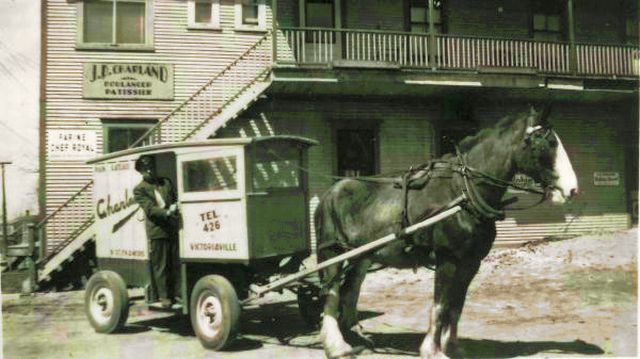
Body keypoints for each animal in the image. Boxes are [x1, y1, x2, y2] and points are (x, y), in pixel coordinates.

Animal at [316, 105, 580, 358]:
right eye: (549, 143)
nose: (573, 189)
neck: (462, 193)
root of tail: (330, 193)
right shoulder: (448, 259)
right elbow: (441, 306)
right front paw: (432, 350)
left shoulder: (471, 263)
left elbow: (456, 305)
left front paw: (451, 346)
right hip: (333, 254)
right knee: (332, 294)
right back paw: (337, 346)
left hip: (362, 256)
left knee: (350, 291)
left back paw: (354, 338)